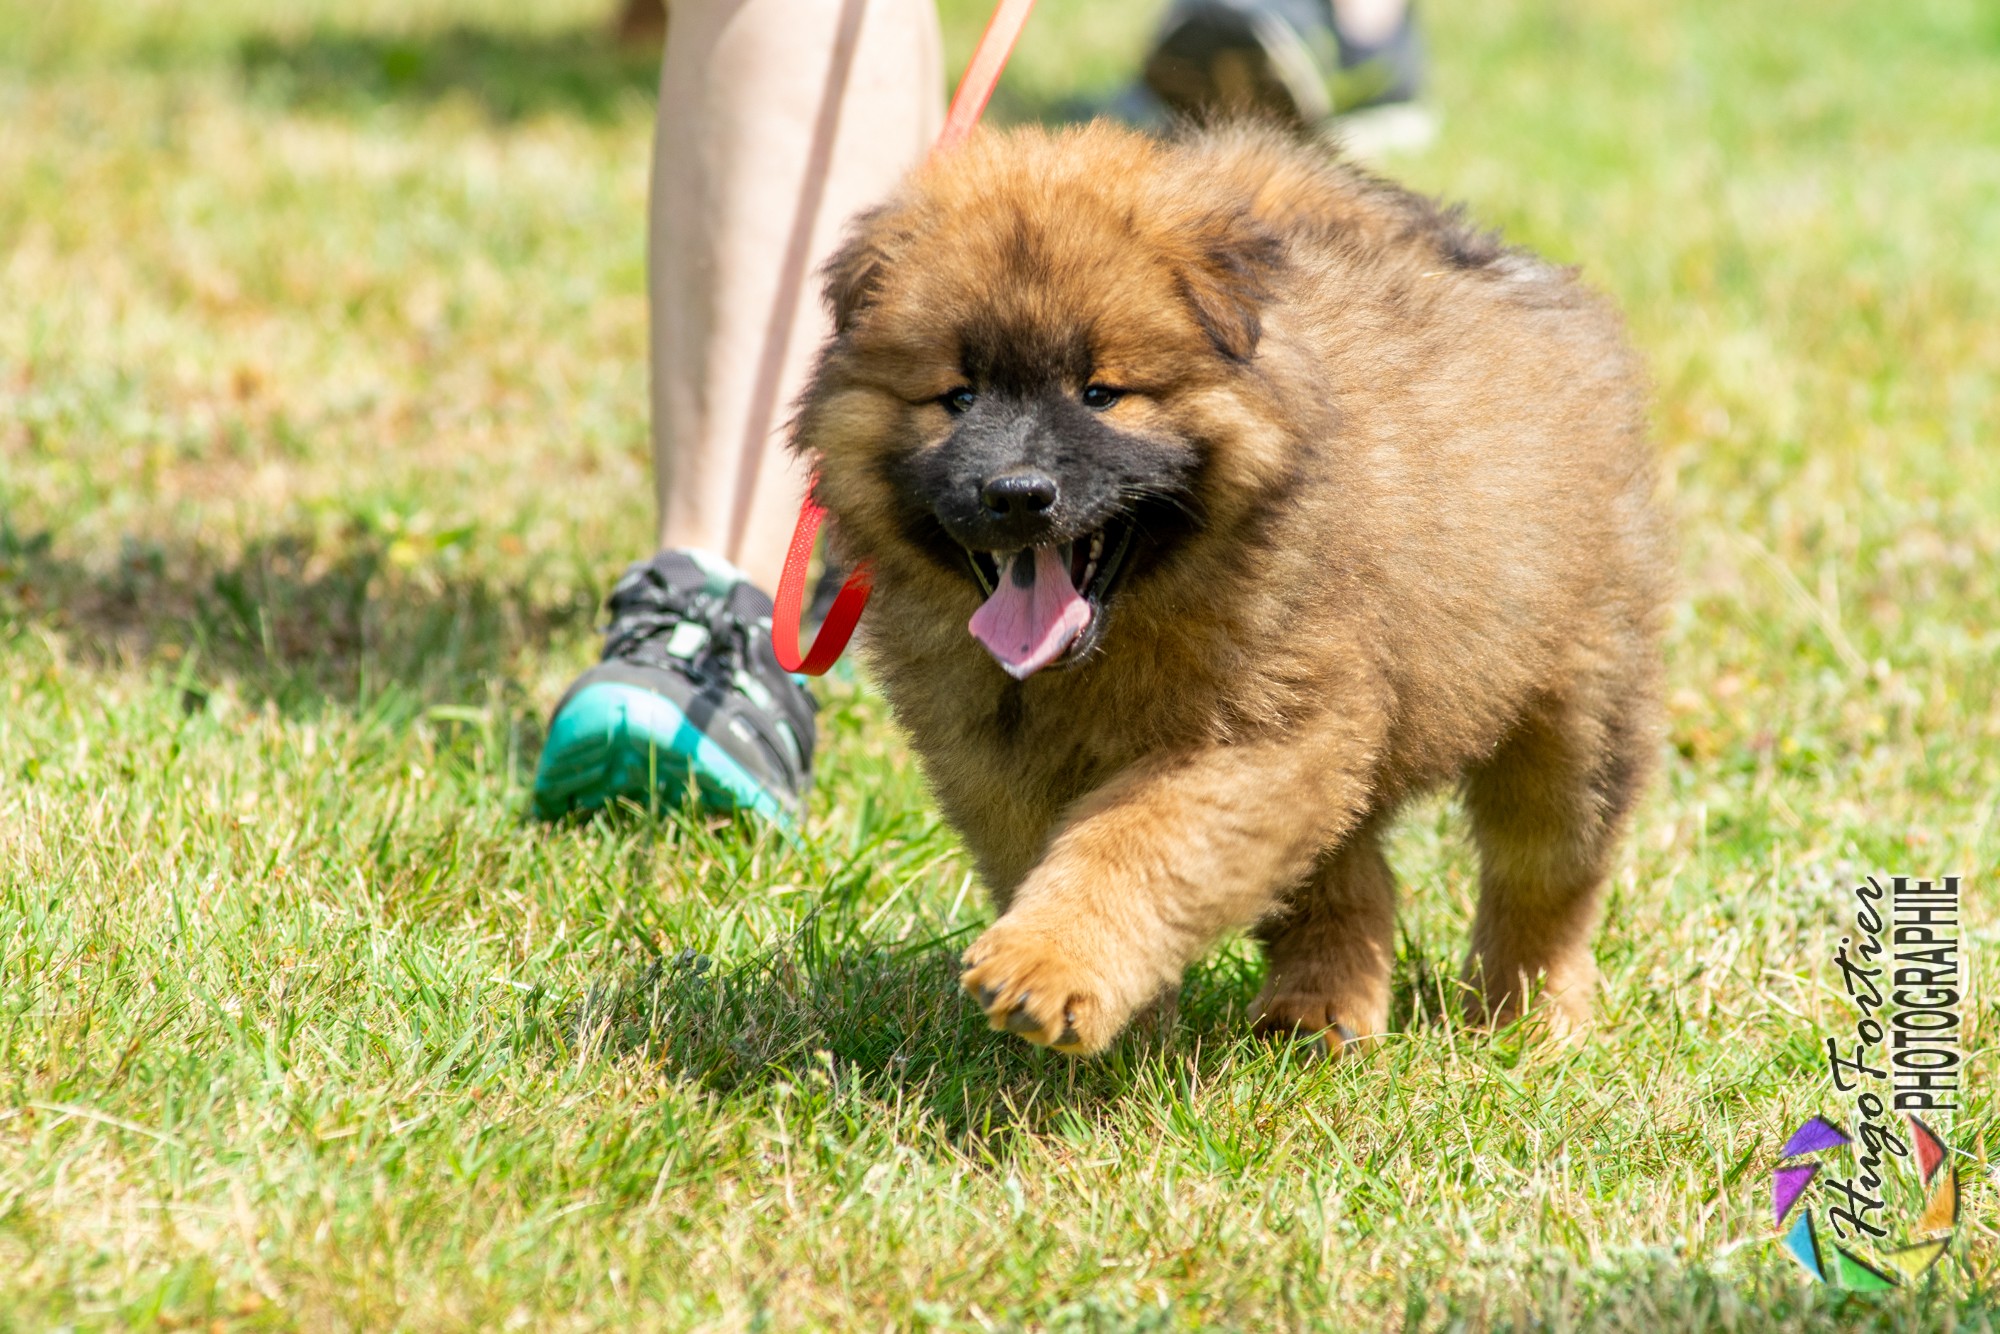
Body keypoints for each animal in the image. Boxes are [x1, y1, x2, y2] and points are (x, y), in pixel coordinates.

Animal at [788, 120, 1664, 1056]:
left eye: (1100, 394)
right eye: (958, 396)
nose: (1018, 493)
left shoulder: (1257, 735)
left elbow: (1134, 843)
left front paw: (1047, 967)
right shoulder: (995, 756)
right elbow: (1060, 850)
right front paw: (1124, 1026)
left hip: (1581, 696)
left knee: (1547, 871)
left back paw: (1528, 1020)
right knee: (1345, 878)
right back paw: (1321, 1017)